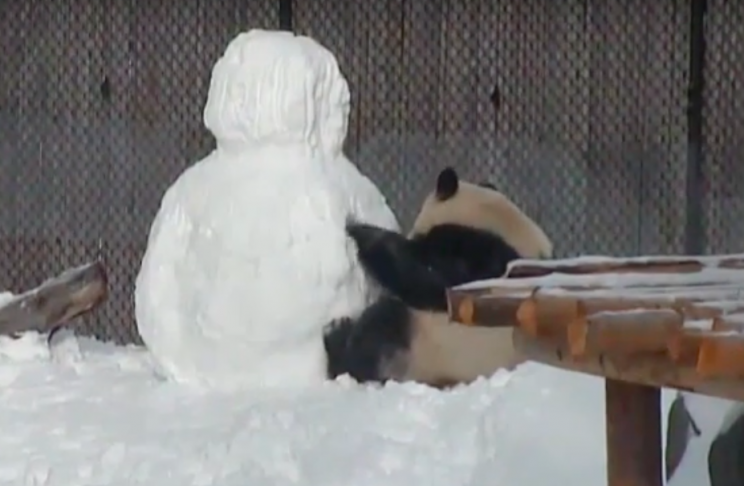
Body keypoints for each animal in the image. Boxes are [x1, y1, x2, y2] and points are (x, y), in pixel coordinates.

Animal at [324, 167, 552, 388]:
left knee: (382, 328)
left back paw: (338, 341)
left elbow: (426, 278)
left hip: (431, 350)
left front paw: (359, 230)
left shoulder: (478, 256)